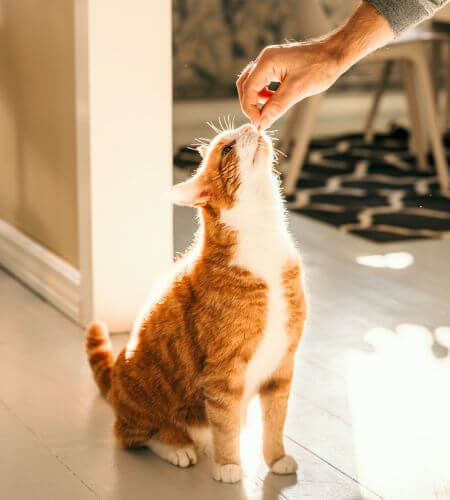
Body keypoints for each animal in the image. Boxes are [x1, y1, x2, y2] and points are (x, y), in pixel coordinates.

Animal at [86, 123, 306, 482]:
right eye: (227, 149)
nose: (250, 125)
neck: (263, 239)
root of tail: (116, 382)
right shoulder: (223, 373)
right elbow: (225, 424)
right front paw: (229, 465)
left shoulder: (282, 365)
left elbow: (275, 423)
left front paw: (276, 460)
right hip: (142, 403)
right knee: (133, 435)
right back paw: (178, 447)